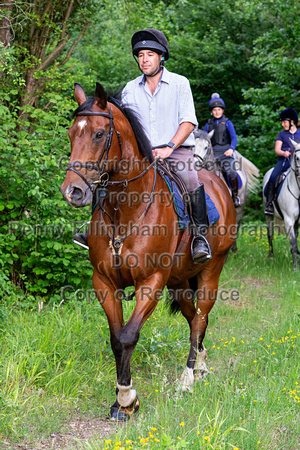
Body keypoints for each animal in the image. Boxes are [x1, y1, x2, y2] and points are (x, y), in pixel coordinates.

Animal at [59, 83, 236, 422]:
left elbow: (129, 335)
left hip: (211, 271)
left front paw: (128, 399)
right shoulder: (104, 282)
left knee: (200, 319)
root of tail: (218, 184)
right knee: (193, 317)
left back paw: (188, 378)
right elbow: (116, 338)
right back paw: (200, 364)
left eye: (99, 134)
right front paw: (120, 400)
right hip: (179, 281)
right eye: (72, 133)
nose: (73, 192)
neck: (126, 208)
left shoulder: (151, 282)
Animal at [262, 139, 300, 268]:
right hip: (268, 215)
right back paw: (271, 256)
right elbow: (293, 243)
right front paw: (295, 268)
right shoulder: (288, 220)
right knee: (270, 234)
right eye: (297, 158)